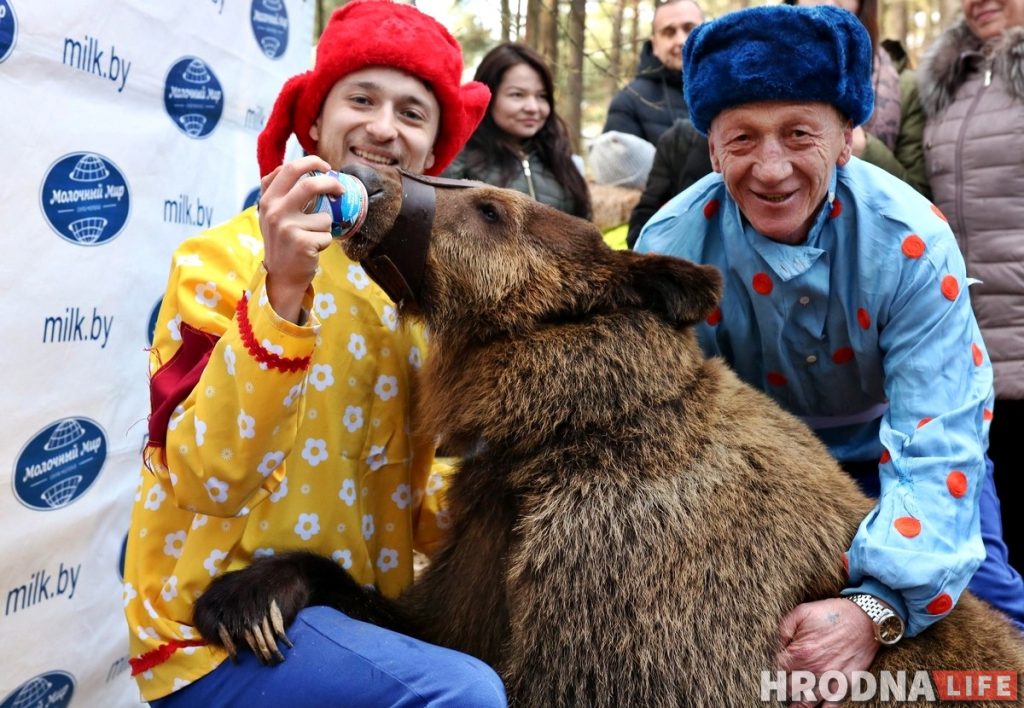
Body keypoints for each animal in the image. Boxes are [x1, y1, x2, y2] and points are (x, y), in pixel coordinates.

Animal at [194, 164, 1024, 707]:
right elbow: (437, 628)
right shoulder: (490, 546)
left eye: (491, 209)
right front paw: (252, 594)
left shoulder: (618, 592)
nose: (371, 175)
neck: (556, 434)